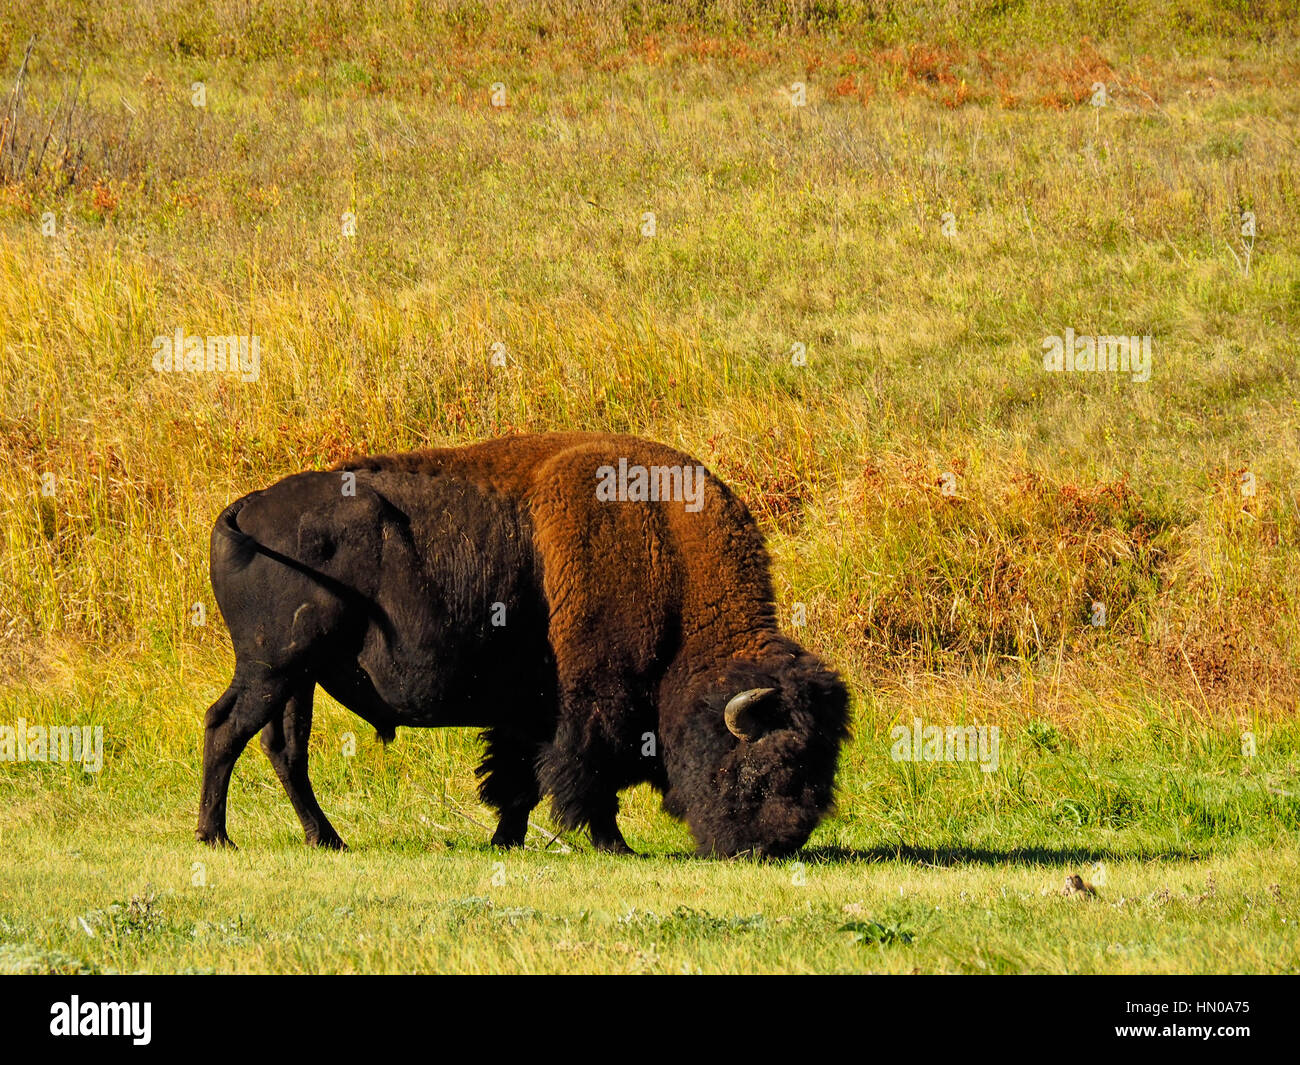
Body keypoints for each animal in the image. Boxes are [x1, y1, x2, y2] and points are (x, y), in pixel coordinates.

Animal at [197, 432, 849, 857]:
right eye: (767, 764)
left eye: (823, 764)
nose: (773, 847)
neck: (666, 549)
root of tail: (242, 510)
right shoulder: (592, 707)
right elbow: (585, 777)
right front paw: (615, 847)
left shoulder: (529, 713)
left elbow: (519, 779)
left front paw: (505, 841)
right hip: (270, 667)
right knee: (226, 728)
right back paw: (216, 836)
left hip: (295, 678)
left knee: (284, 749)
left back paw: (327, 840)